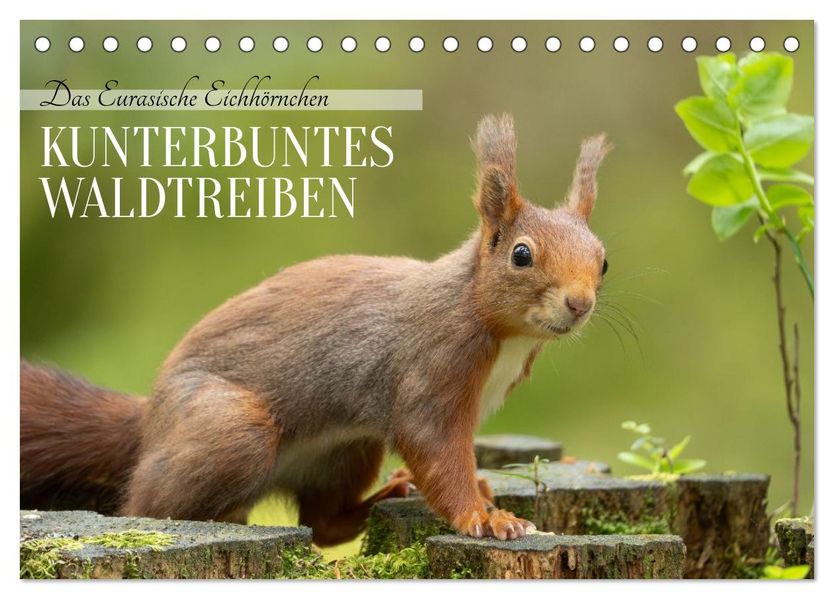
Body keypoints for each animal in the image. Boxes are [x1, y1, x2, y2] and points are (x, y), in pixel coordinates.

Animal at [21, 114, 611, 546]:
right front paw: (484, 517)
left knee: (324, 524)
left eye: (603, 261)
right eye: (521, 255)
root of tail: (150, 422)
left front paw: (483, 492)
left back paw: (385, 497)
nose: (579, 303)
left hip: (346, 449)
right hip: (229, 428)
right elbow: (435, 447)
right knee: (144, 506)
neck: (493, 324)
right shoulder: (432, 365)